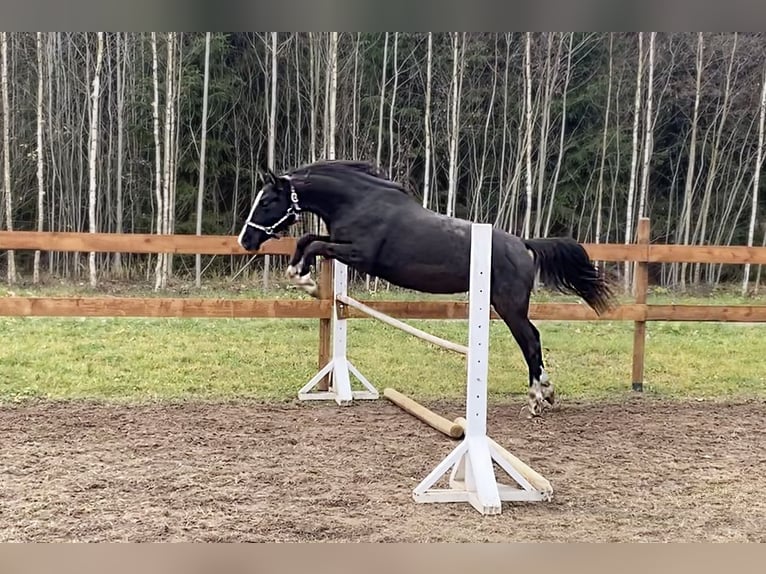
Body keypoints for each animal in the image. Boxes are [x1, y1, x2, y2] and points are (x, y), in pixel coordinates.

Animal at [237, 161, 616, 418]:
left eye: (267, 202)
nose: (246, 241)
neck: (359, 202)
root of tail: (522, 244)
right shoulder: (341, 244)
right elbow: (308, 238)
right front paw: (301, 275)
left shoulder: (359, 254)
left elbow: (314, 244)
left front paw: (305, 280)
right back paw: (545, 394)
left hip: (509, 306)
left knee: (531, 341)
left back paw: (539, 398)